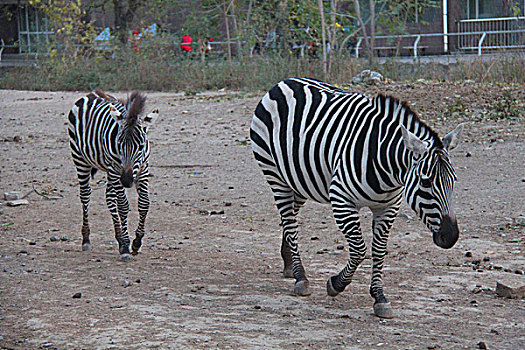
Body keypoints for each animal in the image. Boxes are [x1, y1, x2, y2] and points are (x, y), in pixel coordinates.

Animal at [67, 90, 158, 260]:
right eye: (119, 144)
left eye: (141, 146)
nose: (127, 181)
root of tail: (91, 93)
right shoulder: (117, 170)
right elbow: (123, 206)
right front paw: (125, 246)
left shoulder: (143, 168)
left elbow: (144, 203)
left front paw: (136, 242)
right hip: (80, 158)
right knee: (85, 195)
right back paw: (86, 239)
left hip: (109, 170)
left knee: (109, 198)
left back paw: (118, 236)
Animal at [250, 78, 462, 318]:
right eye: (426, 183)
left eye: (454, 181)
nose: (451, 237)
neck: (386, 165)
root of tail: (284, 82)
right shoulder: (342, 200)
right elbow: (360, 250)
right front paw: (336, 284)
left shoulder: (388, 207)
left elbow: (378, 250)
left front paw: (379, 297)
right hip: (275, 175)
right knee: (291, 223)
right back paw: (301, 277)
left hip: (298, 180)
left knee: (289, 220)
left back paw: (289, 265)